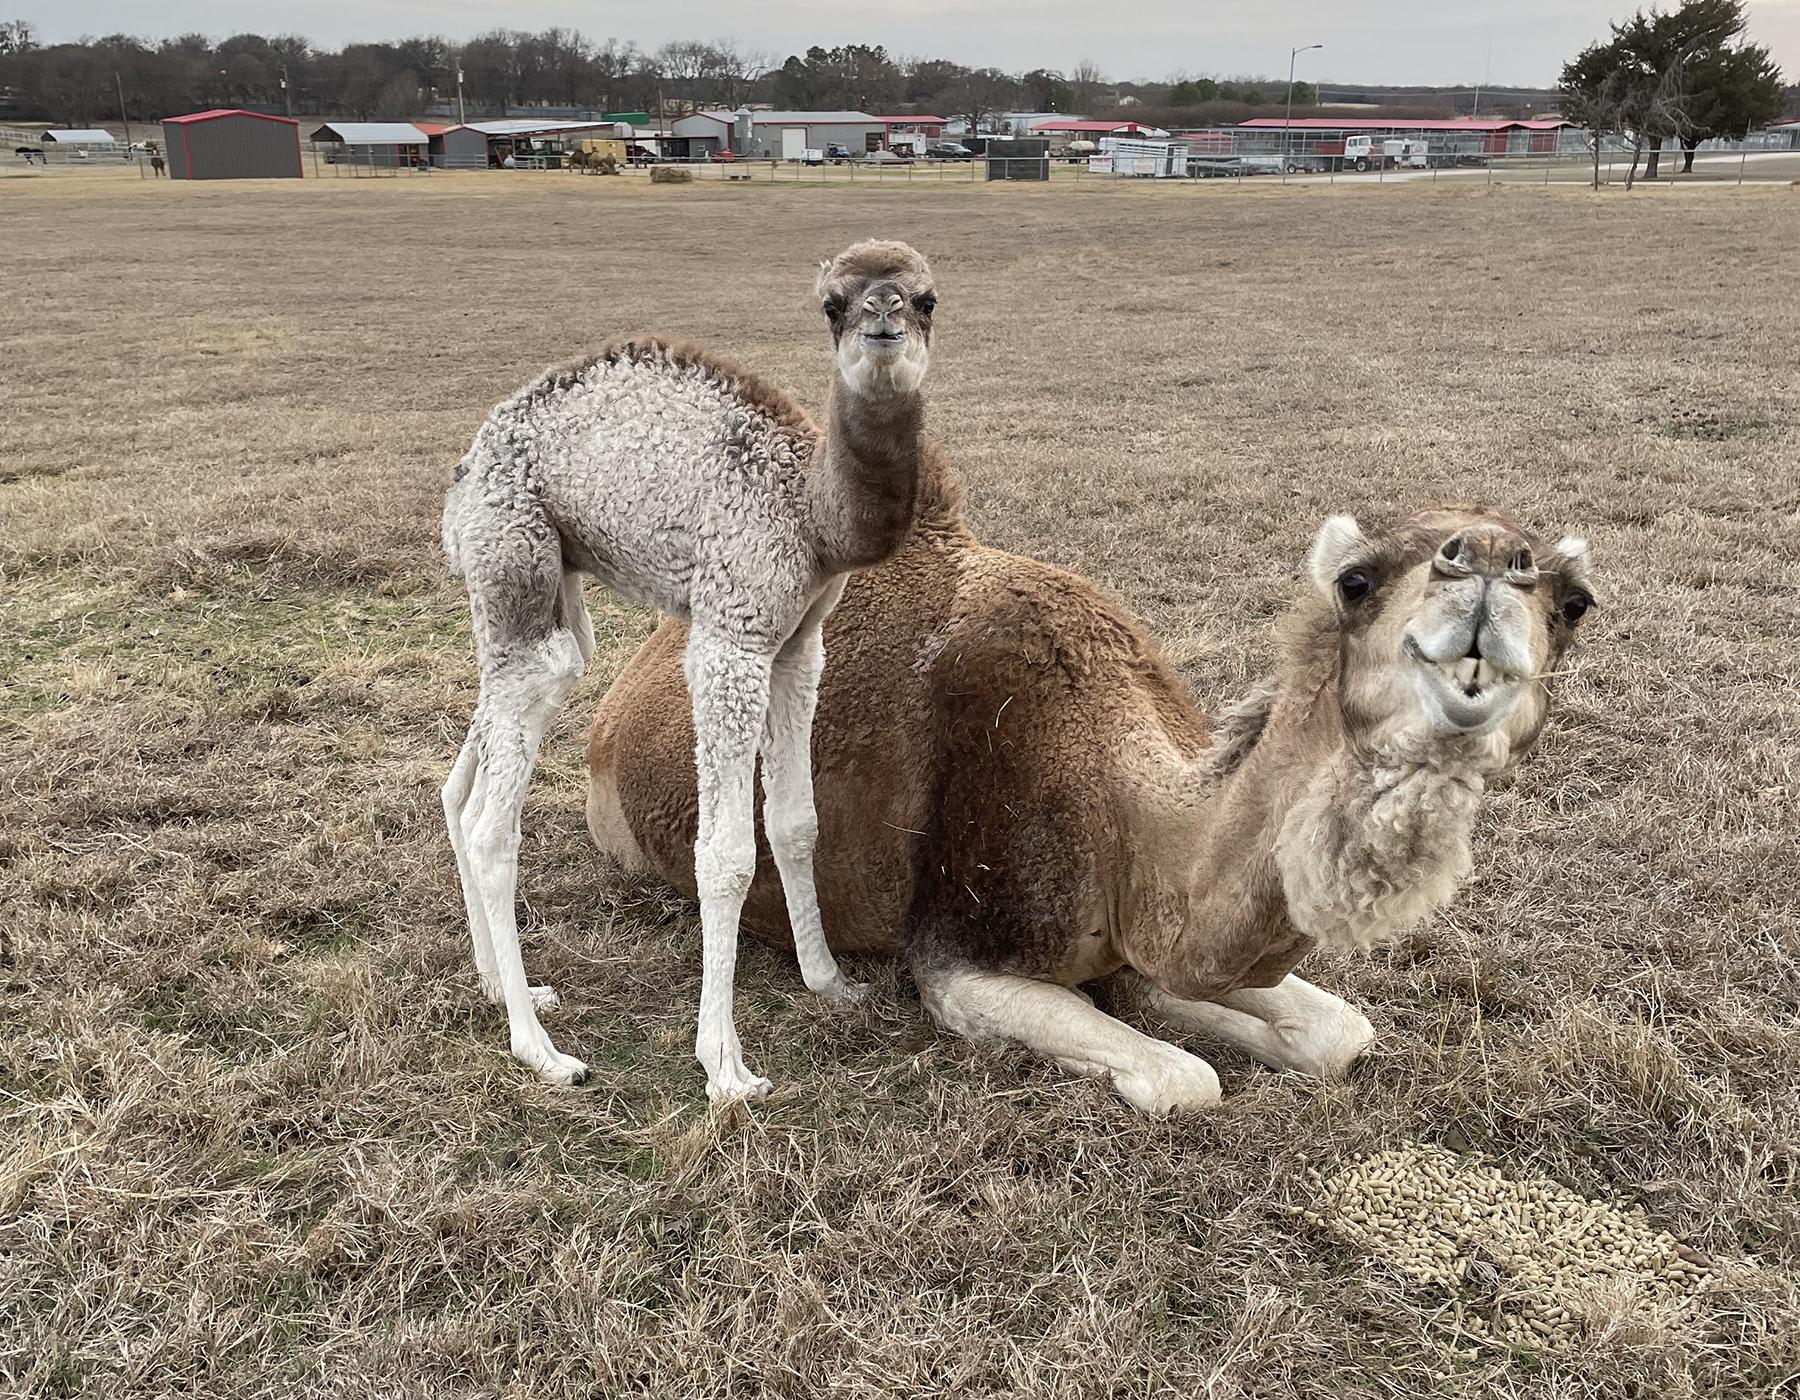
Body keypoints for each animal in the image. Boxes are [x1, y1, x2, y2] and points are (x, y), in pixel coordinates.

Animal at [442, 239, 936, 1094]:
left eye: (927, 299)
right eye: (833, 304)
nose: (882, 319)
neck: (813, 514)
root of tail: (465, 477)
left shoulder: (800, 644)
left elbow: (797, 822)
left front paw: (830, 980)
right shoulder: (730, 639)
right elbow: (726, 855)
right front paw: (725, 1065)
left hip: (543, 599)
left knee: (465, 776)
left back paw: (501, 986)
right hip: (512, 559)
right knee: (488, 821)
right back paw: (541, 1050)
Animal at [583, 458, 1598, 1115]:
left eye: (1573, 603)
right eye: (1355, 581)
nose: (1484, 569)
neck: (1129, 822)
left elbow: (1340, 1033)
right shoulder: (955, 951)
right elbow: (1185, 1079)